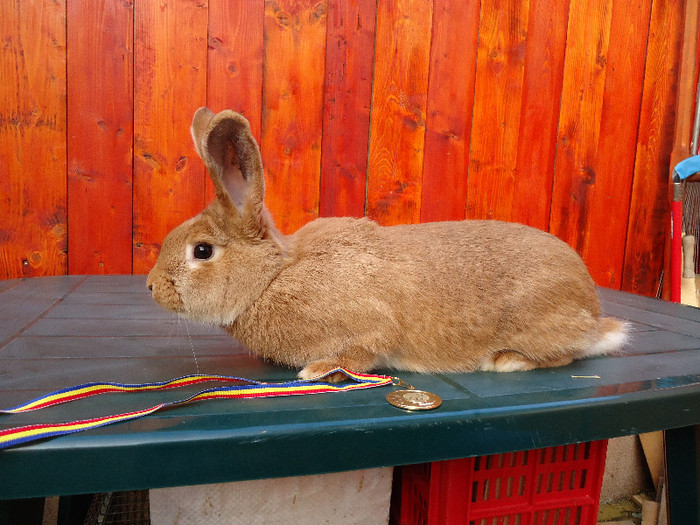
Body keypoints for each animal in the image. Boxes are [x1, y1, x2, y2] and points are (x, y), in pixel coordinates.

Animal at [145, 106, 628, 380]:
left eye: (202, 251)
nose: (151, 286)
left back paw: (506, 360)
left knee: (566, 355)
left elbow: (359, 352)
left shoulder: (369, 328)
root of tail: (592, 311)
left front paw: (316, 371)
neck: (274, 276)